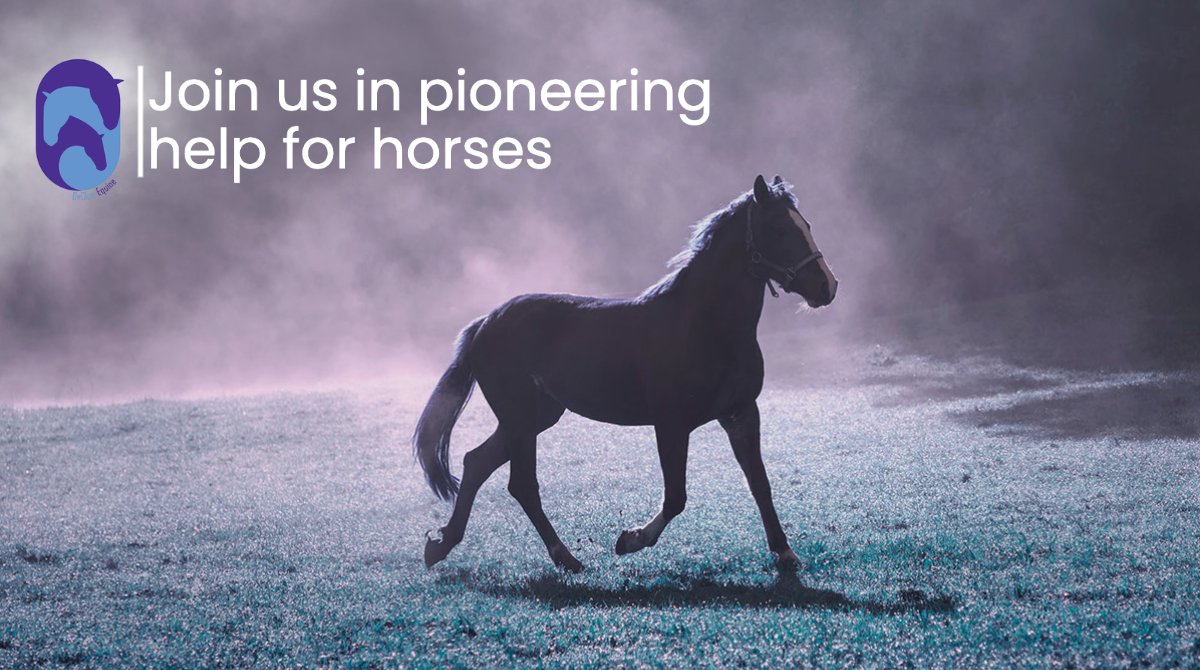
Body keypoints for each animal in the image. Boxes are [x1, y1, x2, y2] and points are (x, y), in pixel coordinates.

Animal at [414, 175, 838, 572]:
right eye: (779, 229)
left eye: (807, 225)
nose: (827, 286)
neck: (704, 325)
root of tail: (486, 322)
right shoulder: (671, 423)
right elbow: (676, 496)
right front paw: (631, 539)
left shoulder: (742, 413)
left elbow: (760, 485)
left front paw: (785, 553)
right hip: (520, 419)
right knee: (521, 484)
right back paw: (565, 558)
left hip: (535, 417)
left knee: (477, 463)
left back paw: (441, 545)